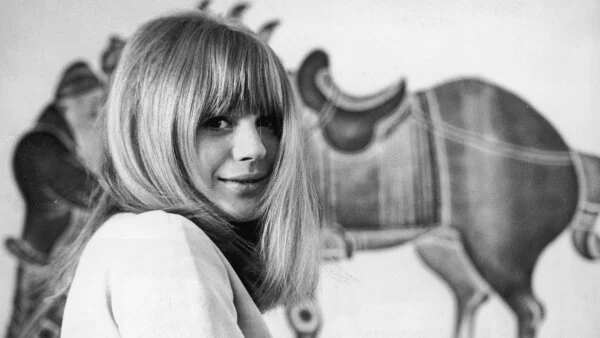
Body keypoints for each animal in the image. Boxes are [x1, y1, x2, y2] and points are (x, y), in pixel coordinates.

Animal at [290, 48, 600, 338]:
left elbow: (305, 319)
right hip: (445, 248)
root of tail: (570, 156)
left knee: (529, 309)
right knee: (471, 294)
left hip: (502, 256)